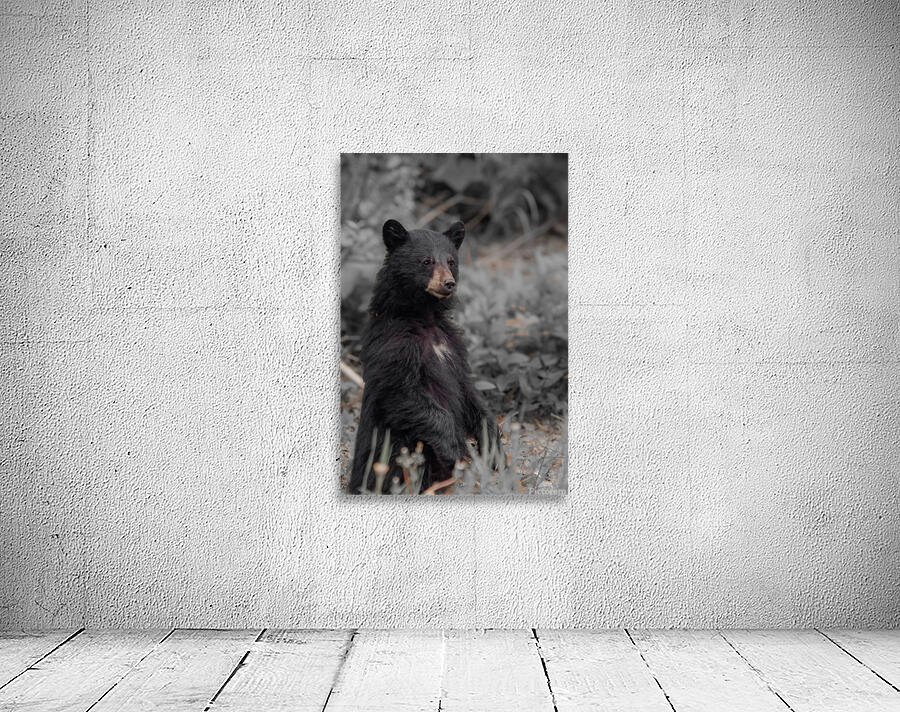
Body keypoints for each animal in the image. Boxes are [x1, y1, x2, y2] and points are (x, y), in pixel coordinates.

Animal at [349, 218, 502, 494]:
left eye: (451, 261)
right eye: (427, 261)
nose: (449, 283)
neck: (424, 318)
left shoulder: (454, 347)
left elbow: (469, 391)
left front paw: (494, 447)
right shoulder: (395, 344)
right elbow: (399, 391)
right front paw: (455, 449)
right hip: (396, 451)